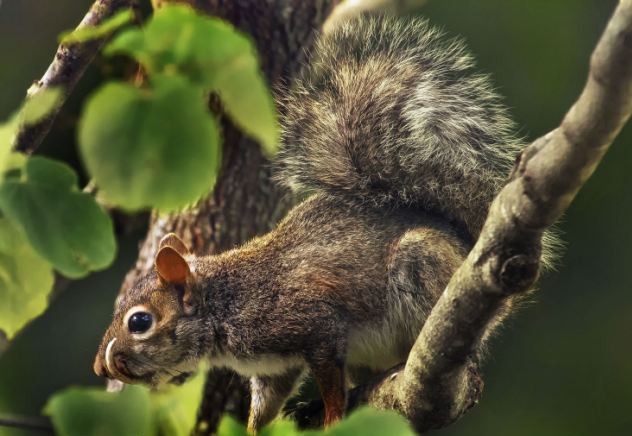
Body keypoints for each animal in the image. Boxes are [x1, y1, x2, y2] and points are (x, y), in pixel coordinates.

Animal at [92, 14, 552, 432]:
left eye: (140, 322)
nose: (101, 367)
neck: (226, 302)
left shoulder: (314, 323)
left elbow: (330, 376)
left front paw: (331, 415)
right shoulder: (273, 369)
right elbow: (268, 403)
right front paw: (256, 428)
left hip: (422, 267)